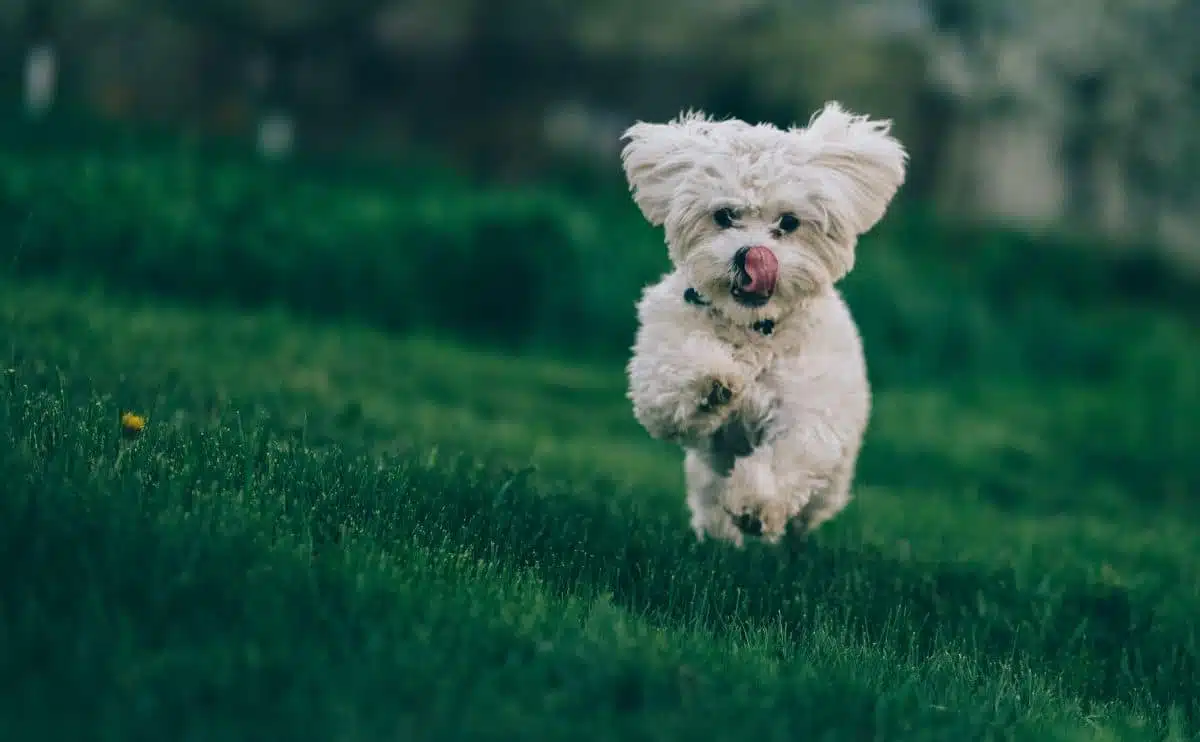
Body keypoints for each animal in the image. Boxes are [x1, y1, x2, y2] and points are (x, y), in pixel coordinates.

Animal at [624, 102, 902, 542]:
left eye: (788, 222)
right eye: (724, 216)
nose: (751, 256)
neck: (754, 329)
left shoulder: (808, 407)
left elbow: (790, 454)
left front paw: (756, 504)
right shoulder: (659, 368)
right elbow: (672, 382)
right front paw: (713, 382)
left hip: (831, 484)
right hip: (706, 476)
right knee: (710, 501)